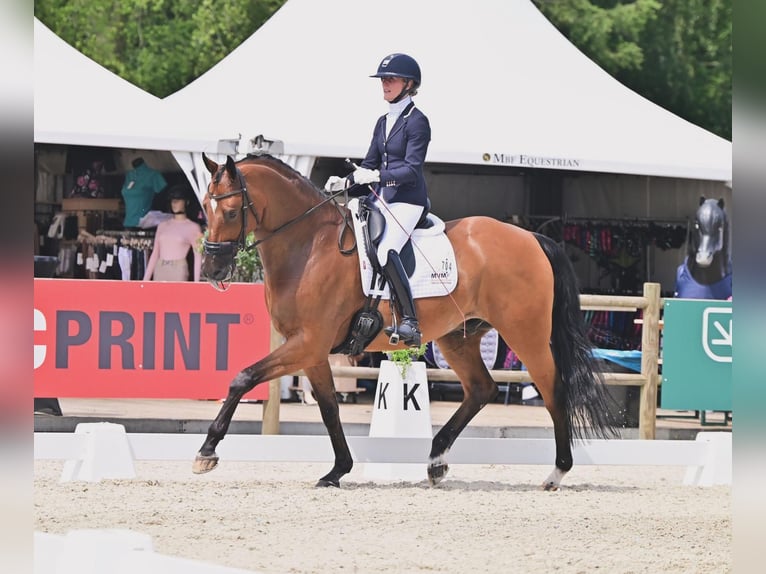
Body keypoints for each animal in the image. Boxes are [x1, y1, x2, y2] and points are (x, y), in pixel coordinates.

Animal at [194, 155, 616, 492]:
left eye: (230, 212)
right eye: (204, 208)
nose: (212, 270)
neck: (308, 246)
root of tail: (531, 236)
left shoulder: (307, 343)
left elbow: (242, 378)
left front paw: (207, 451)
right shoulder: (312, 351)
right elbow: (329, 408)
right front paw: (337, 470)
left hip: (525, 333)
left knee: (553, 388)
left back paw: (556, 473)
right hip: (459, 337)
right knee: (482, 389)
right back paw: (435, 463)